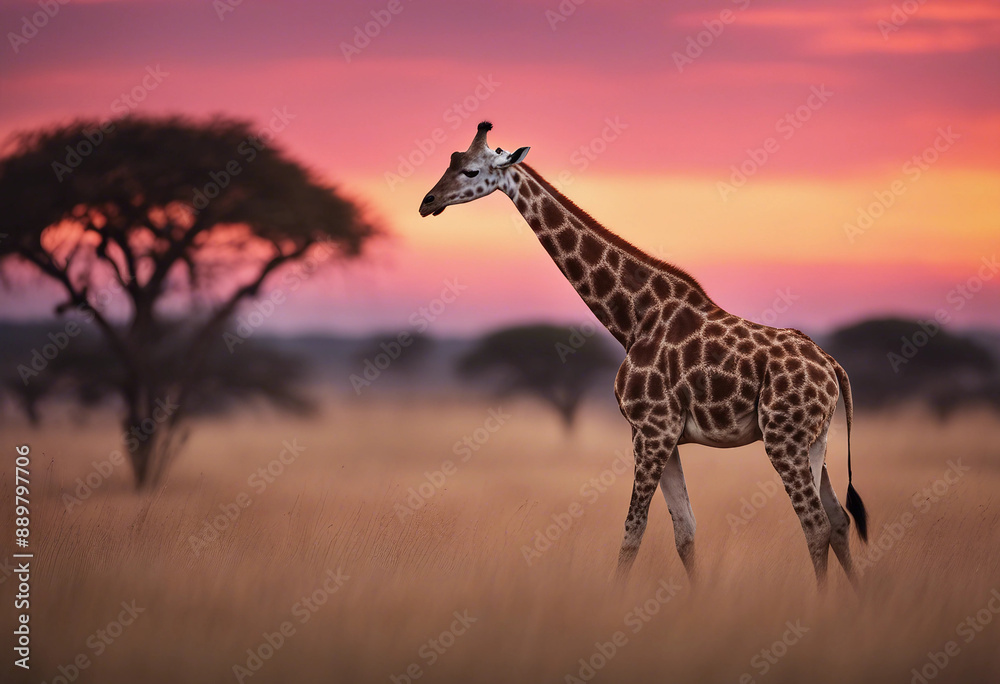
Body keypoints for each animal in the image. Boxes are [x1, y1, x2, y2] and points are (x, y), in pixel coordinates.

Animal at [419, 122, 869, 588]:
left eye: (471, 171)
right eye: (451, 161)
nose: (426, 202)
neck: (633, 318)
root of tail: (833, 368)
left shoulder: (651, 429)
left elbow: (633, 529)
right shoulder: (662, 435)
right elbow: (684, 528)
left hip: (784, 437)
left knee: (815, 523)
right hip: (816, 439)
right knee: (838, 520)